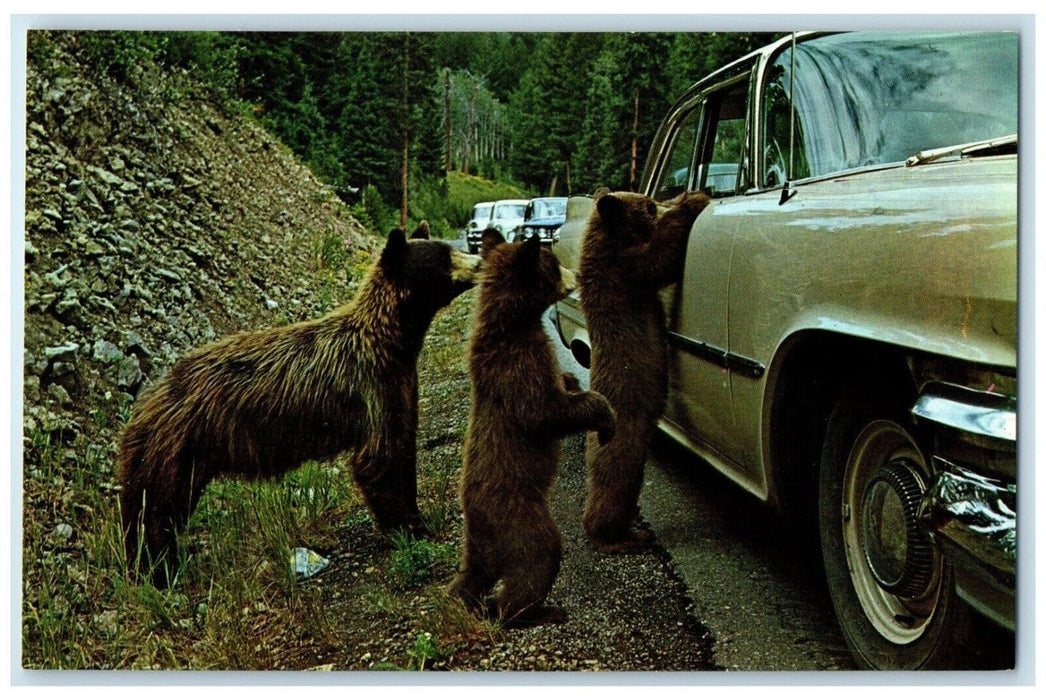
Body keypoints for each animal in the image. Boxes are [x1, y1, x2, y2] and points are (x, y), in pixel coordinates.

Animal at [118, 221, 483, 586]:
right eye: (443, 256)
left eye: (451, 249)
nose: (480, 262)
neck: (389, 343)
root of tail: (147, 398)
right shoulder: (370, 389)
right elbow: (377, 461)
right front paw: (410, 528)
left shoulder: (400, 386)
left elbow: (403, 448)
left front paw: (417, 516)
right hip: (174, 447)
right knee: (156, 510)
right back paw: (156, 569)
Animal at [447, 229, 616, 626]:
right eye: (553, 264)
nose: (576, 275)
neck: (514, 322)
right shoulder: (517, 362)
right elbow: (542, 412)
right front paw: (605, 417)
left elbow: (558, 392)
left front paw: (571, 380)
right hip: (518, 517)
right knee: (538, 556)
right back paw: (534, 610)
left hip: (480, 542)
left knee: (473, 574)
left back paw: (460, 599)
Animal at [578, 189, 711, 553]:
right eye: (648, 205)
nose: (659, 203)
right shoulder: (623, 272)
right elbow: (659, 260)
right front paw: (692, 202)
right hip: (626, 437)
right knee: (617, 483)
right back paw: (625, 537)